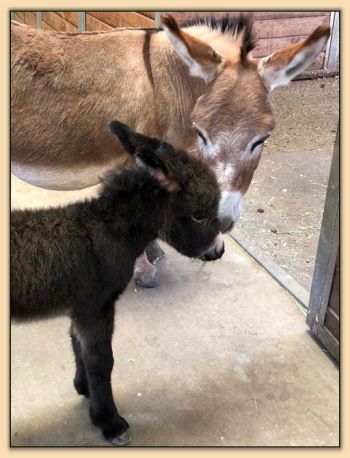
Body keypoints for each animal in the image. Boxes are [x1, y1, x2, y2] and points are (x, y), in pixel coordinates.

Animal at [11, 121, 224, 444]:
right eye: (199, 216)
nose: (218, 251)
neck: (108, 229)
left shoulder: (81, 308)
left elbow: (77, 344)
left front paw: (83, 387)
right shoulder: (95, 306)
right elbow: (101, 360)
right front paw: (110, 422)